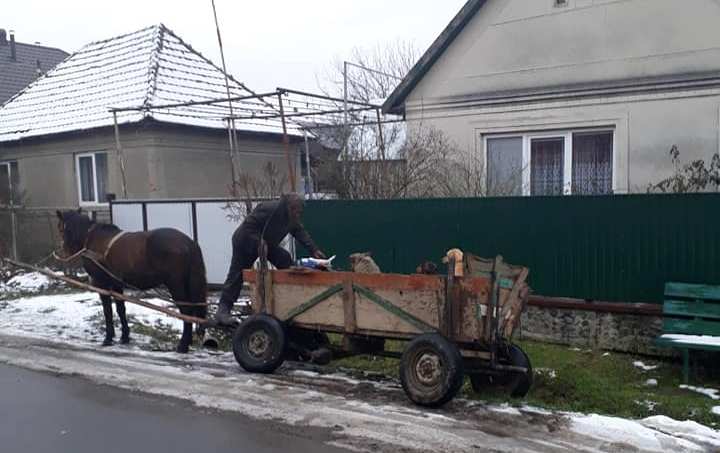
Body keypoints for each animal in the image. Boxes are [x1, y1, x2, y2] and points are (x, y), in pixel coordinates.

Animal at [57, 208, 208, 354]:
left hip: (175, 284)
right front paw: (124, 337)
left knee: (186, 310)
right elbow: (120, 309)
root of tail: (188, 242)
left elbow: (107, 311)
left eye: (61, 228)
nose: (64, 251)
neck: (91, 239)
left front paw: (108, 338)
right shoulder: (116, 284)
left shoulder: (102, 284)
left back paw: (183, 345)